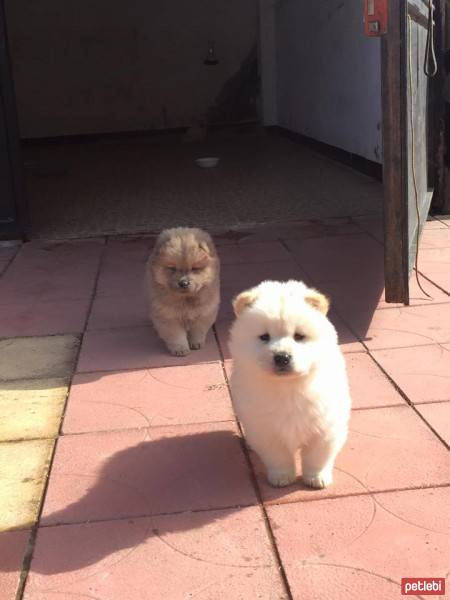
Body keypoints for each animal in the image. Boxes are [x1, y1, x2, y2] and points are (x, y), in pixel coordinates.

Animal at [229, 280, 352, 488]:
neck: (287, 387)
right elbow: (278, 457)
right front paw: (282, 477)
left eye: (299, 336)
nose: (282, 357)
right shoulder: (265, 429)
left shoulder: (325, 426)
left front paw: (317, 478)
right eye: (264, 337)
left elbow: (317, 456)